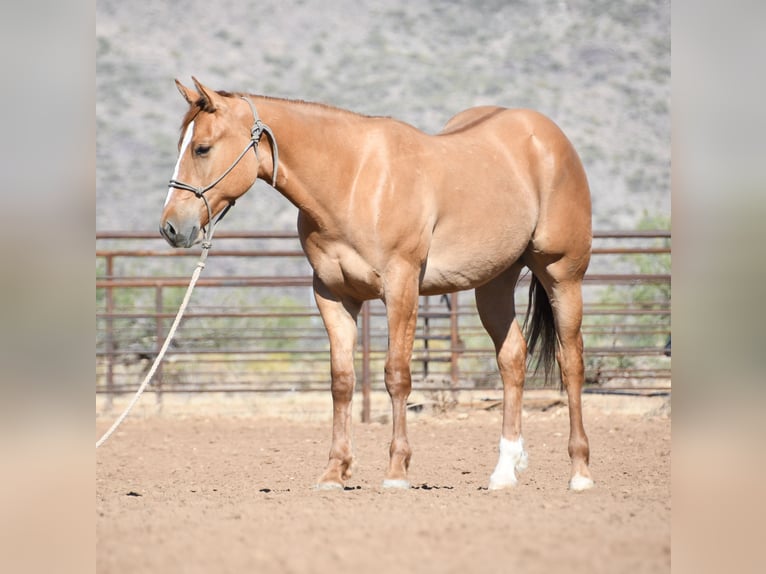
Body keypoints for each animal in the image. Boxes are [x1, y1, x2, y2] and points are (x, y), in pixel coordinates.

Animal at [160, 78, 595, 491]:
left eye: (201, 148)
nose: (170, 228)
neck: (353, 180)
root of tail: (548, 137)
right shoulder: (332, 295)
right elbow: (342, 382)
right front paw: (334, 472)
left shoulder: (401, 287)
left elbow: (396, 375)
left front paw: (397, 470)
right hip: (494, 283)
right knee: (512, 360)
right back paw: (504, 473)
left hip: (562, 275)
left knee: (571, 362)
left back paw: (579, 472)